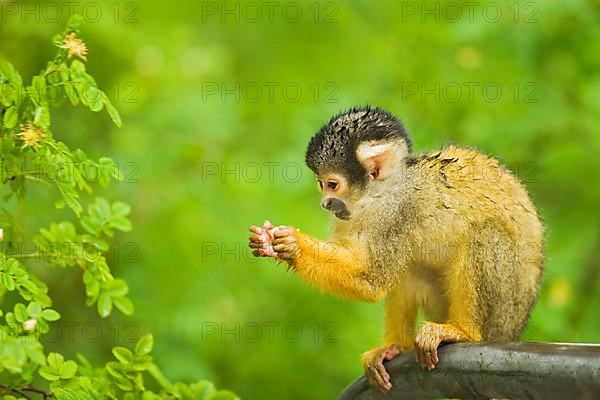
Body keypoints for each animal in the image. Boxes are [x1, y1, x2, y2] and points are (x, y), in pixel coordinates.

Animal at [248, 107, 544, 394]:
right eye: (321, 185)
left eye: (332, 185)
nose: (325, 203)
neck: (379, 196)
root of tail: (513, 329)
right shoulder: (349, 215)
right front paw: (269, 243)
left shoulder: (398, 212)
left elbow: (372, 280)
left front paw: (292, 245)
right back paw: (396, 346)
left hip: (504, 310)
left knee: (483, 233)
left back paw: (463, 331)